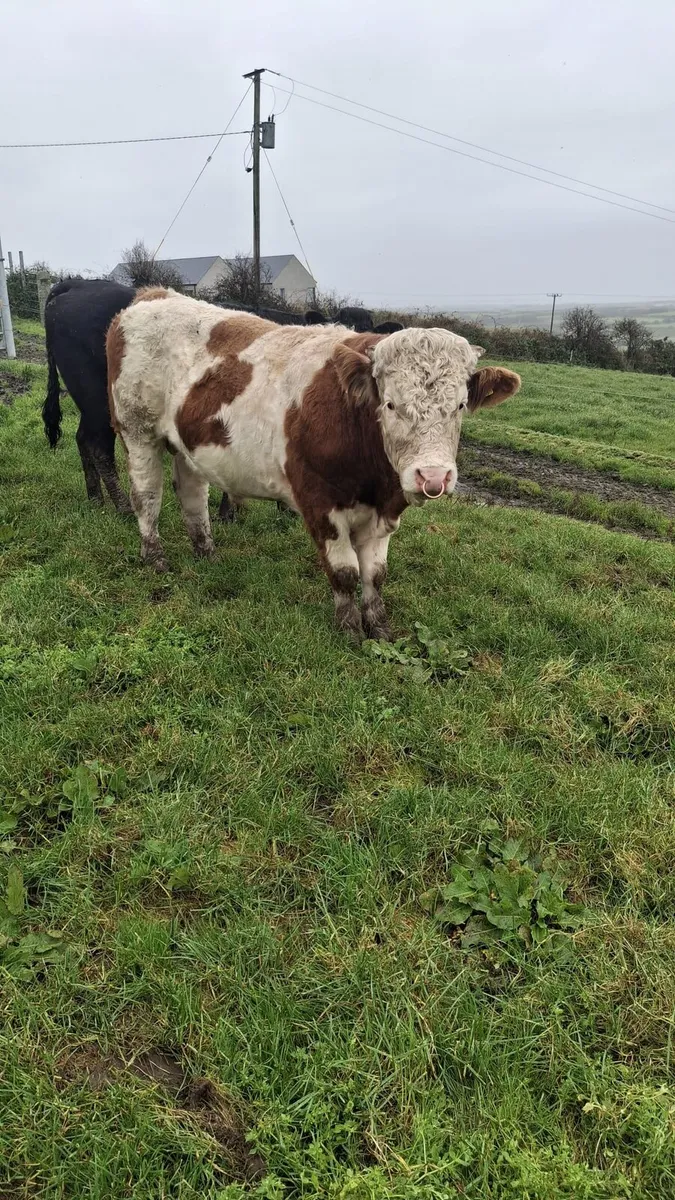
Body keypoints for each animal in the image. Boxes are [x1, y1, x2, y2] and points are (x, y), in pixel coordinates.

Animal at [107, 288, 520, 639]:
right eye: (390, 405)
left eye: (461, 405)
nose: (432, 476)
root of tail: (152, 295)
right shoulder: (320, 503)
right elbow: (345, 572)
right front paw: (350, 630)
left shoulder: (383, 511)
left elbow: (375, 574)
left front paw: (380, 629)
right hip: (136, 430)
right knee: (147, 495)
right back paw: (155, 557)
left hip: (188, 445)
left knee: (193, 494)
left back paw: (206, 552)